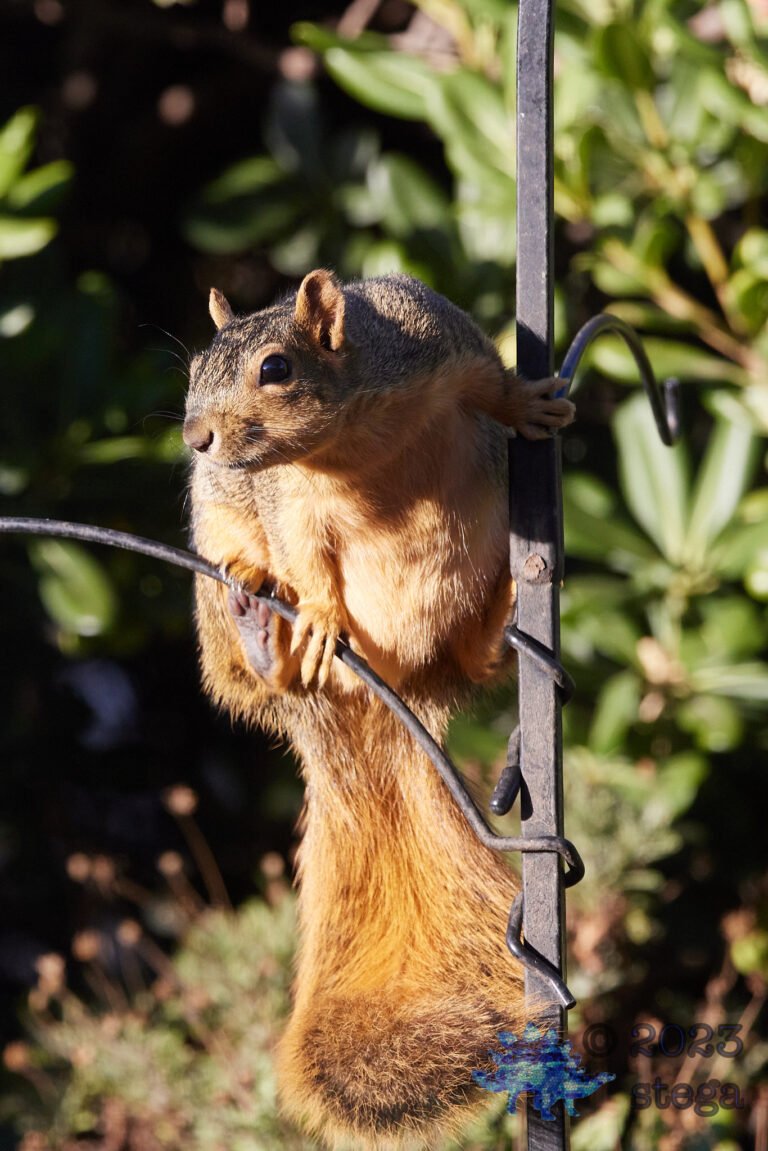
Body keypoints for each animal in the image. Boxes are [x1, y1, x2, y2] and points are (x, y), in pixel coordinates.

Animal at [183, 269, 575, 1149]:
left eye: (276, 369)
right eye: (192, 370)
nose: (196, 438)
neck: (350, 446)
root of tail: (381, 689)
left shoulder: (432, 339)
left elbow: (489, 381)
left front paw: (530, 404)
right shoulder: (288, 503)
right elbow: (304, 557)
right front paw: (323, 614)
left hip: (470, 597)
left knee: (472, 658)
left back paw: (503, 622)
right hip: (211, 571)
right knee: (254, 660)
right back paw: (265, 629)